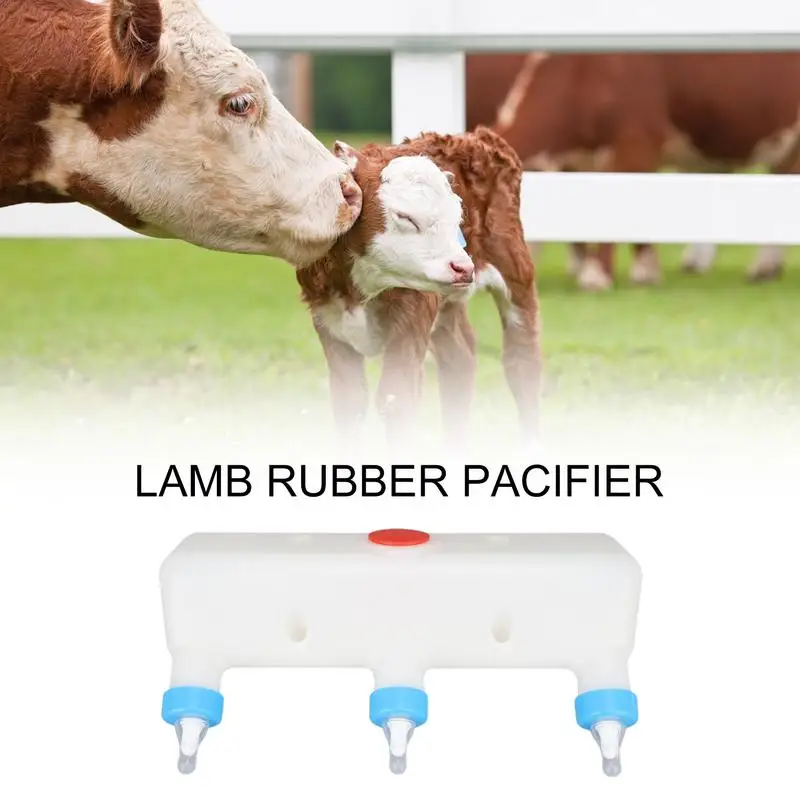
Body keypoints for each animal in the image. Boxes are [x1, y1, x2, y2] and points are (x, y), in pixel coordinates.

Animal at [296, 127, 541, 450]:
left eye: (457, 217)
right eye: (405, 217)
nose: (463, 267)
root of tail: (475, 136)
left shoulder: (411, 318)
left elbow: (396, 400)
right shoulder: (328, 320)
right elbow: (349, 401)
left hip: (516, 270)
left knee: (522, 365)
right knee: (459, 359)